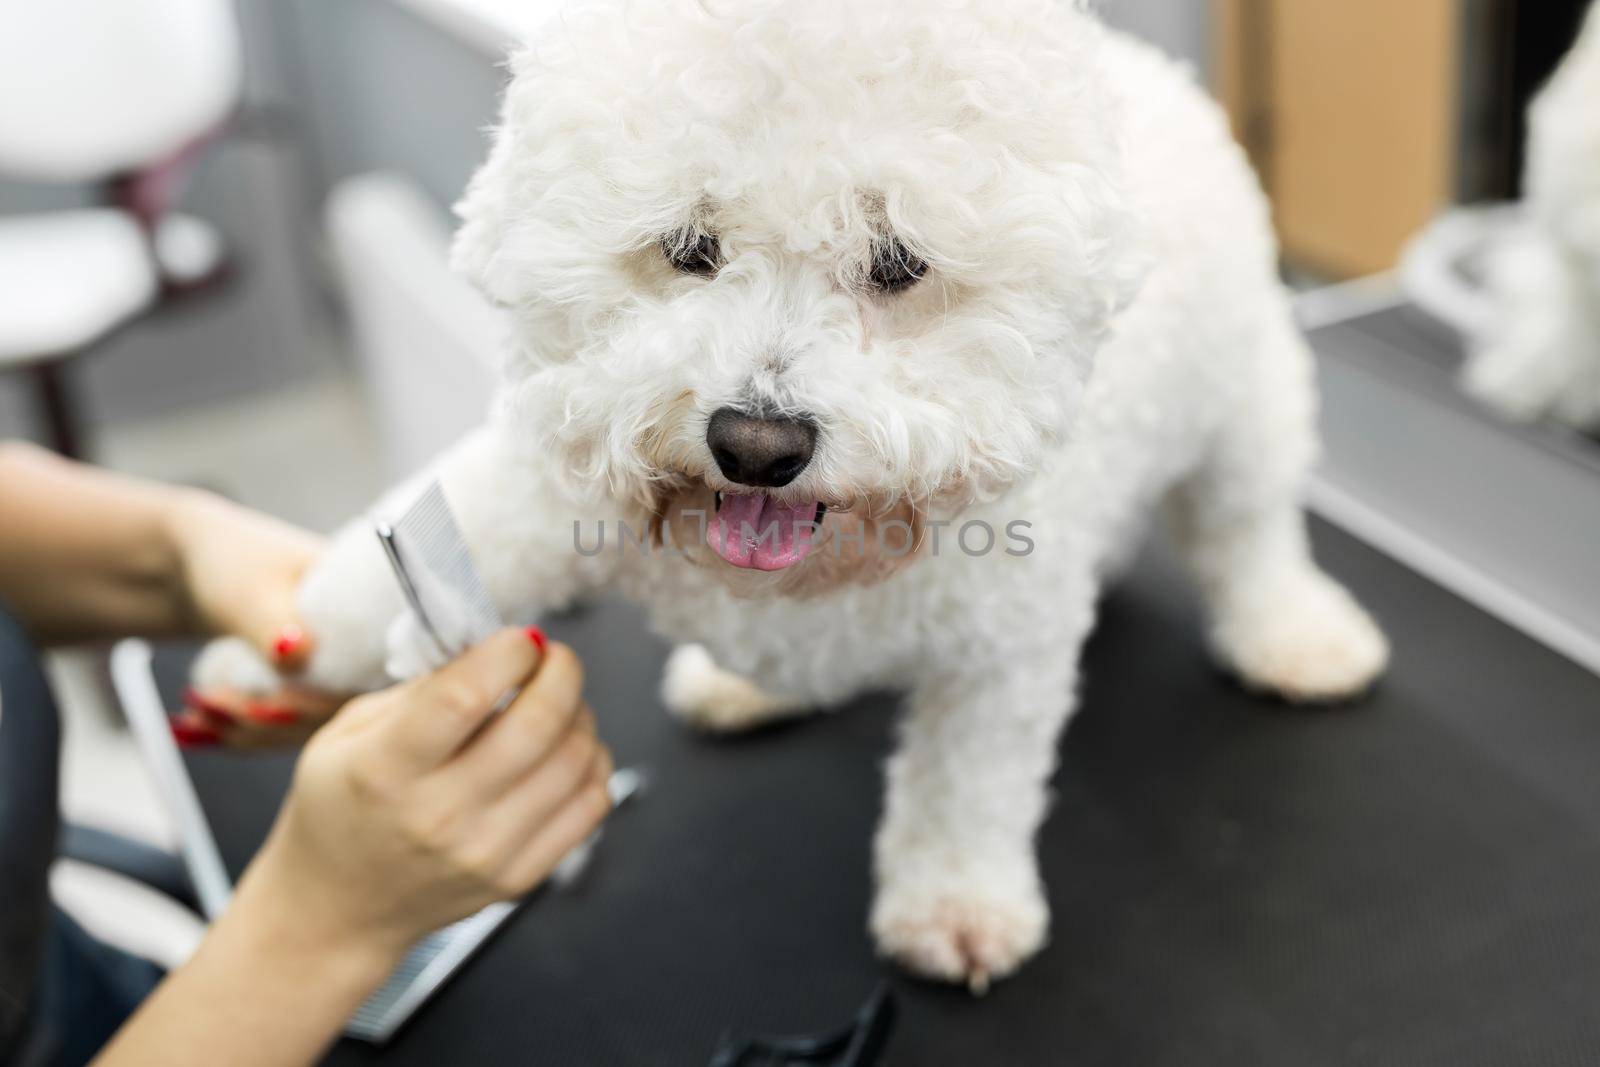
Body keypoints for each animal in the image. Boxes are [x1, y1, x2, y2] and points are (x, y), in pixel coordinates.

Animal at [196, 0, 1388, 991]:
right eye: (688, 245)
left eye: (898, 261)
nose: (756, 443)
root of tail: (1157, 70)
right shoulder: (534, 486)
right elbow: (387, 570)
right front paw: (278, 657)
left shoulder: (1002, 647)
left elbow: (969, 780)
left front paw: (954, 902)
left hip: (1242, 404)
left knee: (1247, 529)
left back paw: (1294, 635)